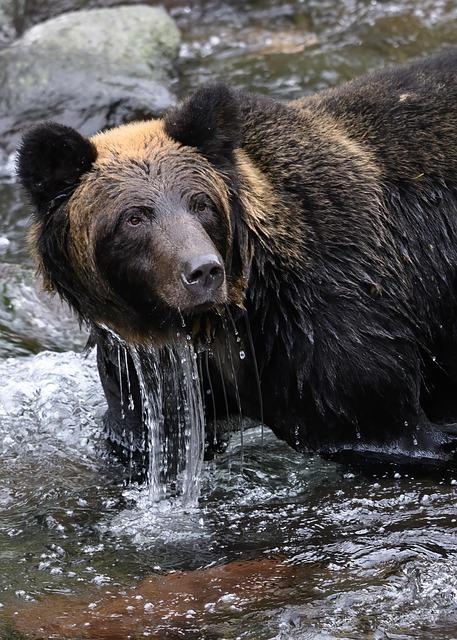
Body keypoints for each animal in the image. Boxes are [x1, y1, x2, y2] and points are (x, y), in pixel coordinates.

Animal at [17, 49, 457, 469]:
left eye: (200, 203)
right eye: (134, 217)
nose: (203, 271)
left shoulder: (336, 323)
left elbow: (384, 421)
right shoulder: (149, 374)